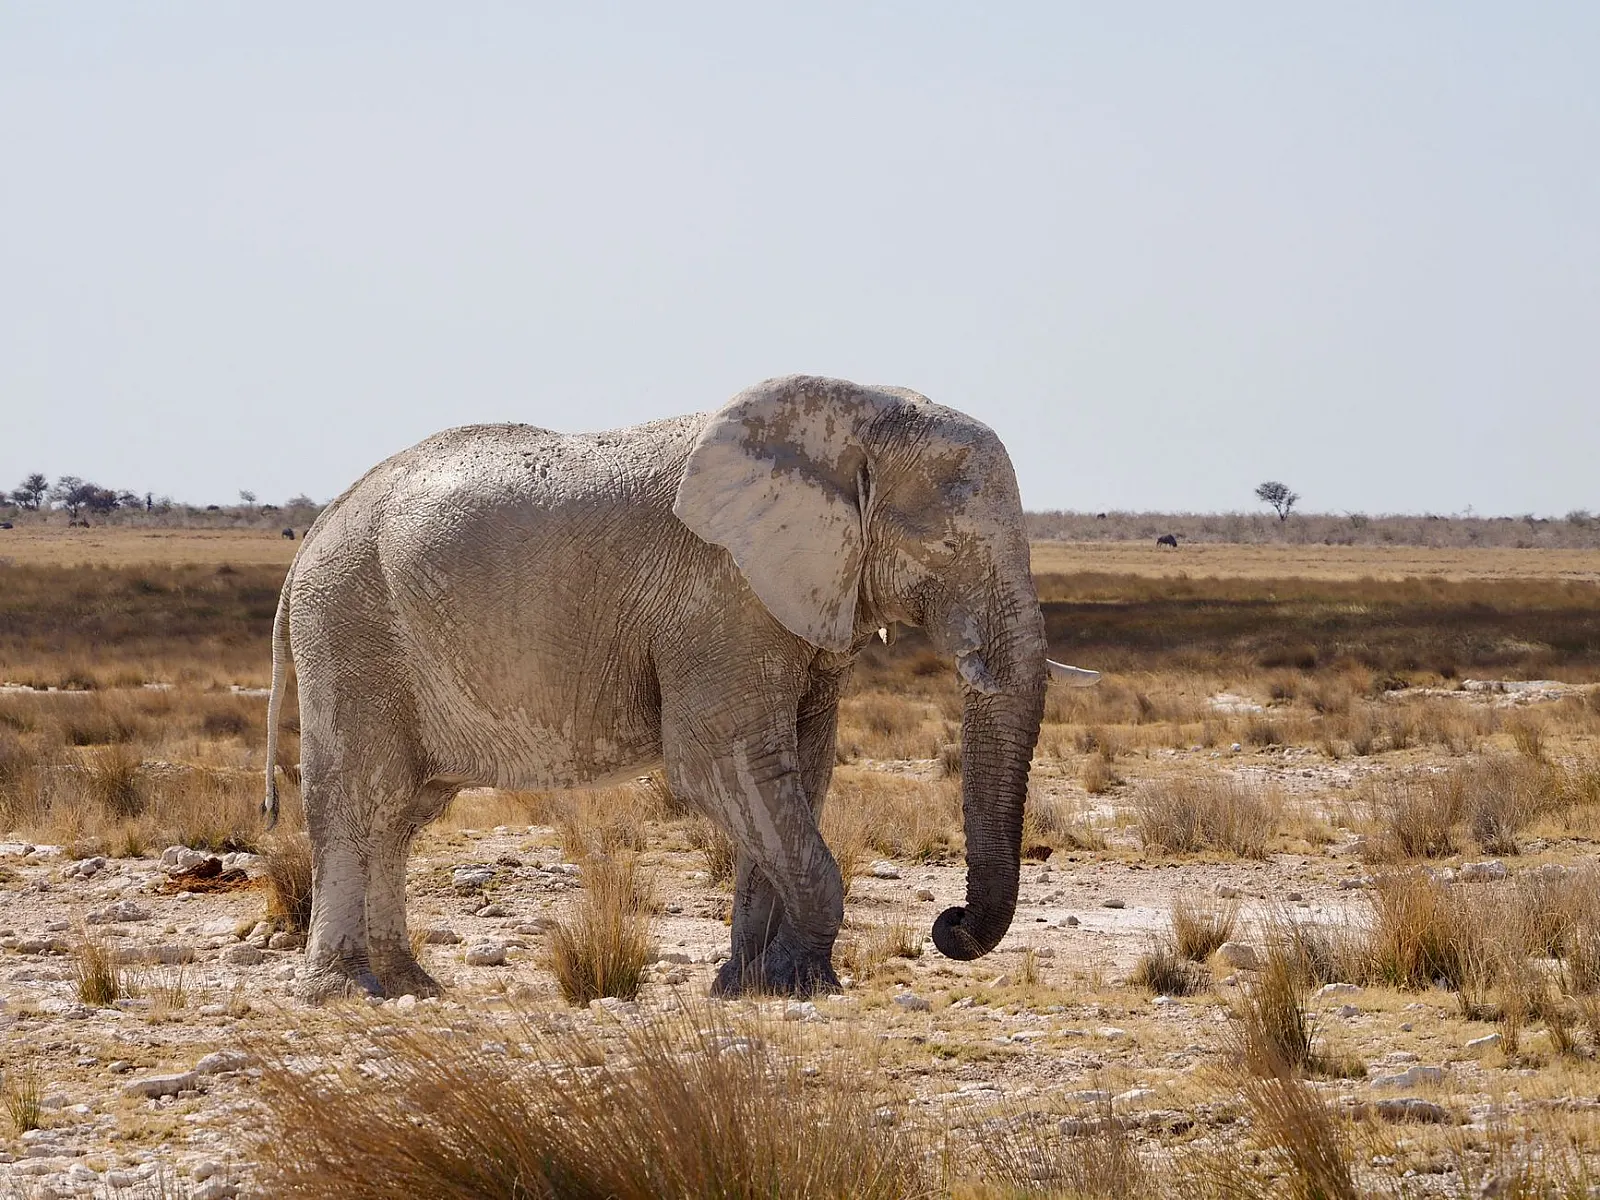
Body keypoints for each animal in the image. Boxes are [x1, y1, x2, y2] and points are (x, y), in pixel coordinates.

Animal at [263, 374, 1099, 1001]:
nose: (949, 924)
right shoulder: (721, 594)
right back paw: (347, 991)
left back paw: (408, 985)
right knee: (364, 799)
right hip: (349, 629)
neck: (848, 421)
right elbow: (722, 762)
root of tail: (316, 529)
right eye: (947, 543)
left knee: (404, 813)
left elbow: (801, 768)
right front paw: (804, 984)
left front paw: (751, 986)